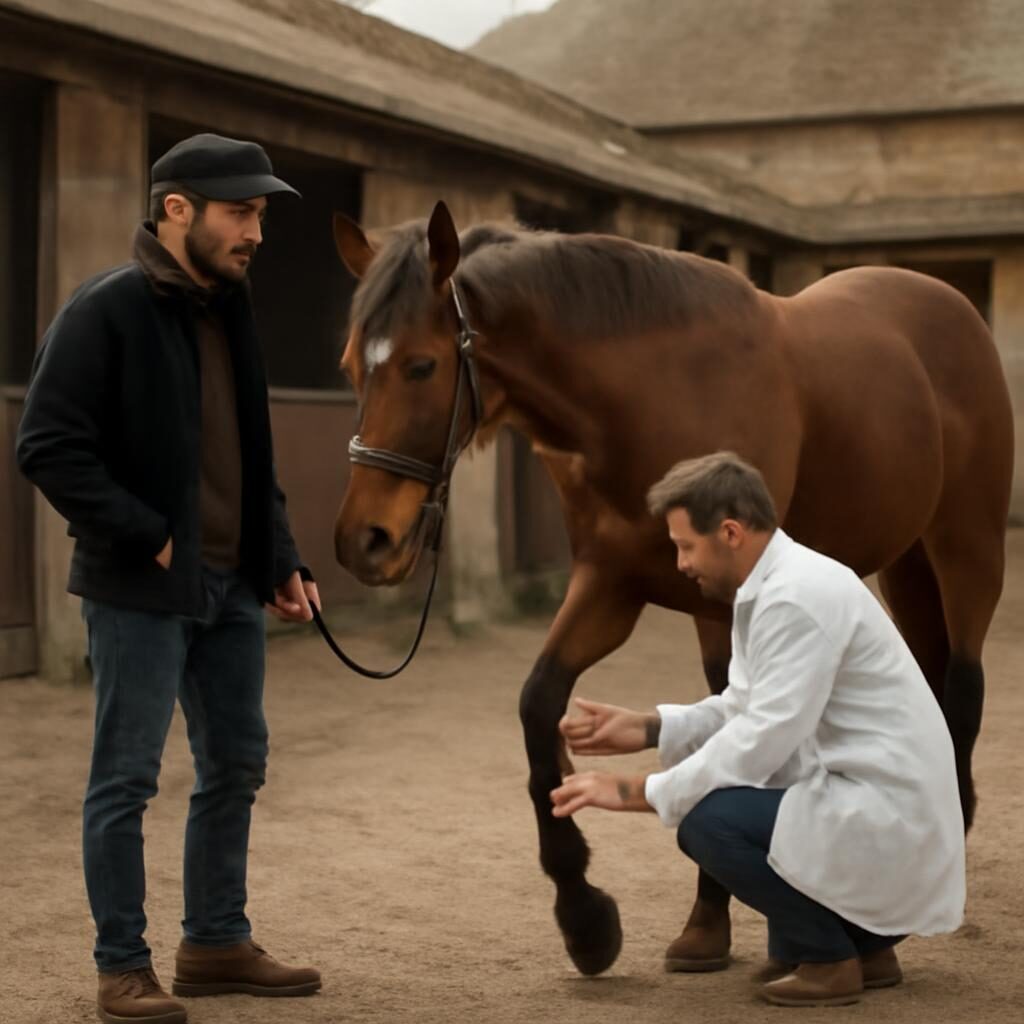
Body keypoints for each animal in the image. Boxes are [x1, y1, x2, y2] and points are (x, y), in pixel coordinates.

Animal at [329, 200, 1013, 976]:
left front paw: (705, 917)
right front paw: (588, 917)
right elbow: (540, 704)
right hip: (906, 563)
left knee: (962, 688)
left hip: (966, 550)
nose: (364, 542)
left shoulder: (721, 597)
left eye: (422, 365)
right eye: (351, 365)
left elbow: (728, 729)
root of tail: (950, 305)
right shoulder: (610, 584)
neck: (648, 391)